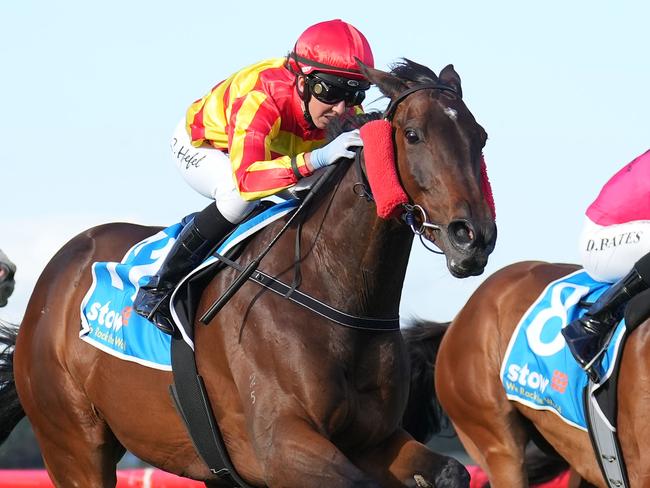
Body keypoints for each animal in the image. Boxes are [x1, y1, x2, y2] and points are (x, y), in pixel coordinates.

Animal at [1, 60, 496, 488]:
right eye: (413, 135)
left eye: (481, 137)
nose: (473, 236)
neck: (333, 289)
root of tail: (54, 277)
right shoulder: (281, 446)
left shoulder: (374, 439)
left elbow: (451, 470)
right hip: (73, 445)